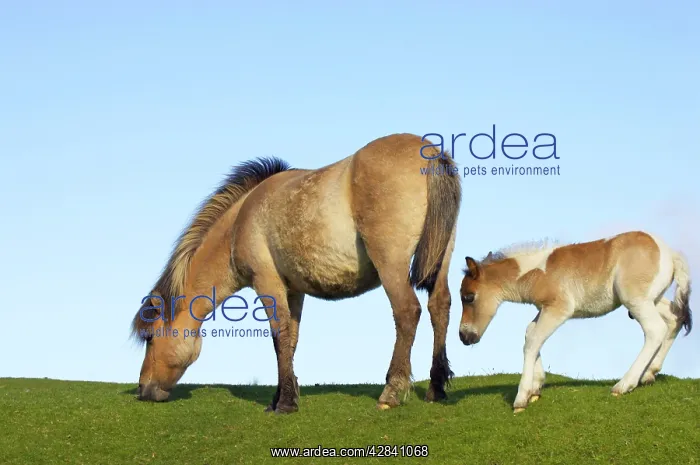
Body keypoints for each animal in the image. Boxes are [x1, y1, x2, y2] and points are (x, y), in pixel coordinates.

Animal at [130, 133, 462, 413]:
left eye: (150, 338)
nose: (143, 389)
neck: (241, 220)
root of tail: (429, 151)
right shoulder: (294, 290)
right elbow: (290, 341)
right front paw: (281, 396)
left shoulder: (267, 283)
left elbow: (279, 335)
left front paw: (286, 402)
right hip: (441, 258)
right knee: (439, 308)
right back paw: (436, 388)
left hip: (391, 265)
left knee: (407, 312)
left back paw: (392, 391)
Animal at [457, 231, 692, 413]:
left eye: (468, 297)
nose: (464, 336)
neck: (537, 270)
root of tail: (669, 252)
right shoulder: (543, 309)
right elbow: (530, 333)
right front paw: (536, 386)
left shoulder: (559, 308)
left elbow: (533, 340)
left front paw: (522, 398)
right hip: (652, 299)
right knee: (674, 318)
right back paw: (650, 373)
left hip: (636, 300)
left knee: (655, 329)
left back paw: (624, 385)